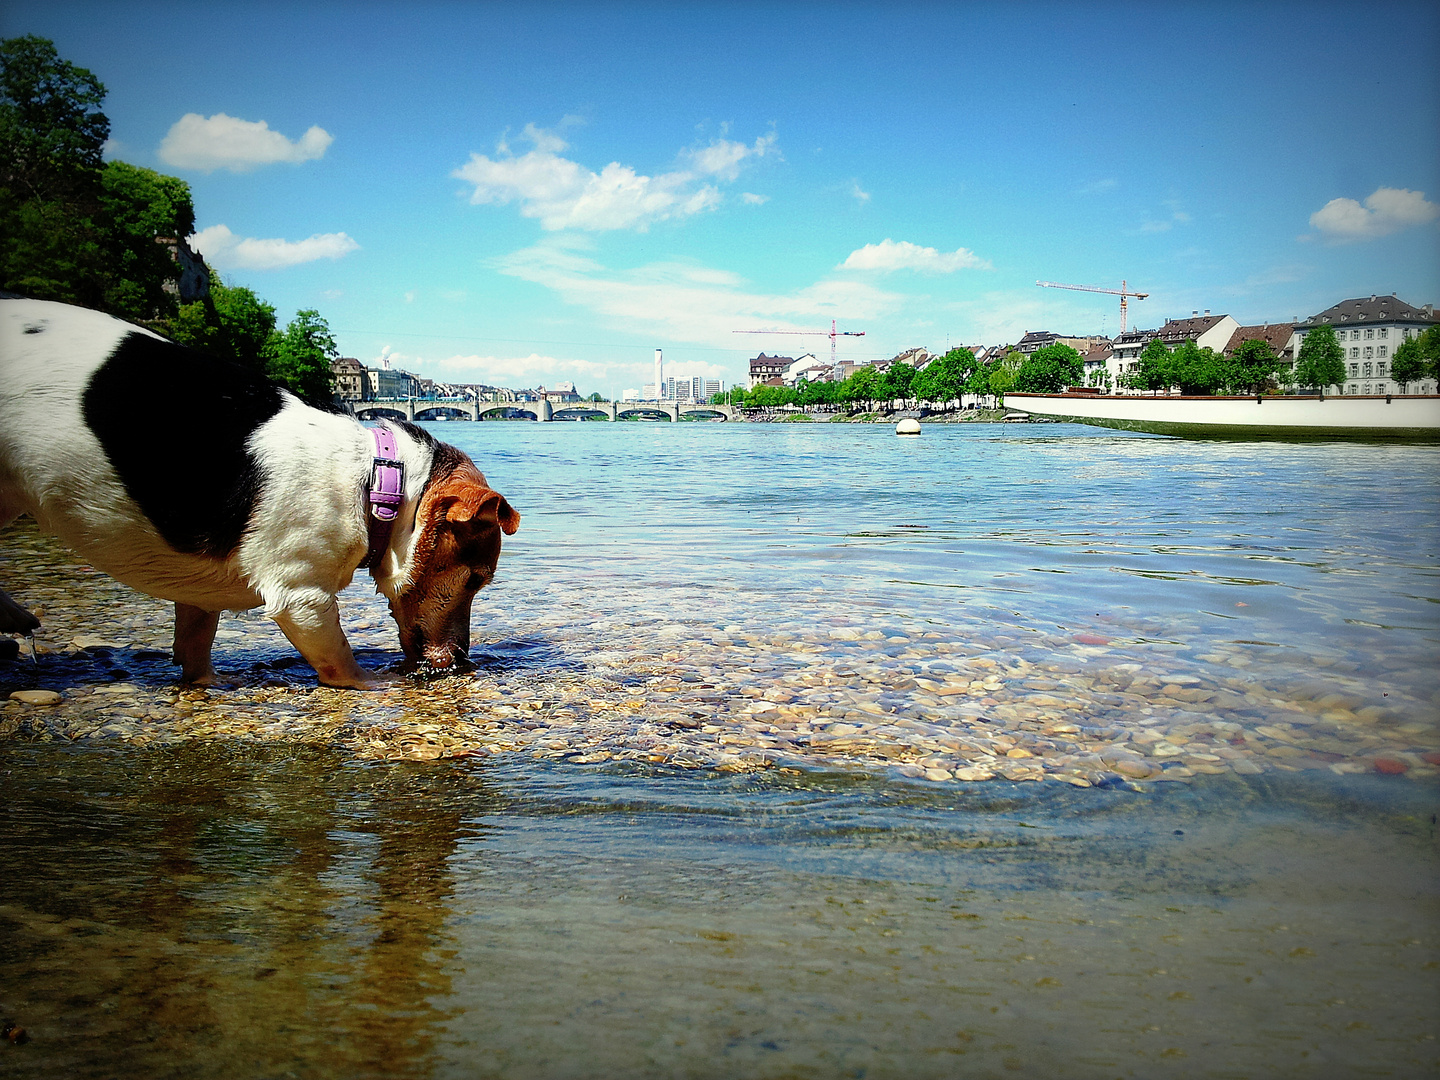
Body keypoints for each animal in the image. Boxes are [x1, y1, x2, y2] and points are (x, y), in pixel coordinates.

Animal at [0, 296, 518, 688]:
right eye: (476, 580)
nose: (464, 660)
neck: (376, 483)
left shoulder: (198, 594)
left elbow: (195, 644)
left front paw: (207, 684)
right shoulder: (302, 597)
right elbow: (341, 661)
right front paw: (374, 682)